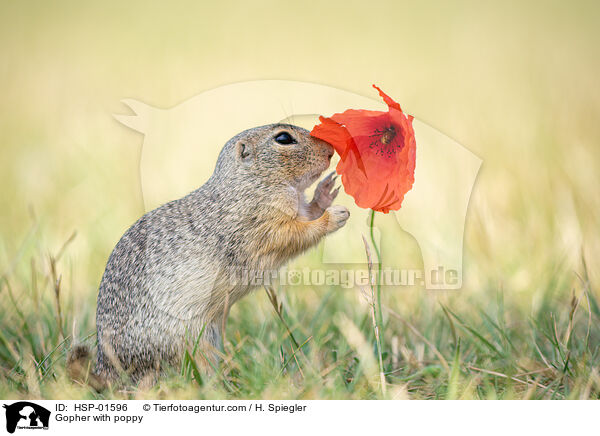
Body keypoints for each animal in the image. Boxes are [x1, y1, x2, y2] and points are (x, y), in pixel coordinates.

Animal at [68, 123, 350, 388]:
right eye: (283, 138)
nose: (331, 150)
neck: (251, 183)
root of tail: (105, 371)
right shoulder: (261, 223)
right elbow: (295, 234)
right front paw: (334, 216)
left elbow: (308, 212)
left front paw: (325, 192)